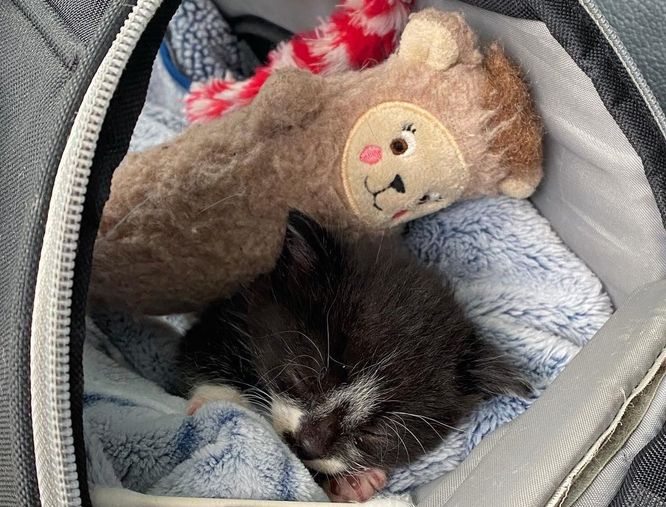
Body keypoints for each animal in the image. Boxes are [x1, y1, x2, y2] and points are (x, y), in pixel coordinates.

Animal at [175, 212, 524, 502]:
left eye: (375, 432)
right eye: (303, 376)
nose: (307, 444)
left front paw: (349, 482)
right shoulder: (233, 311)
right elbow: (202, 350)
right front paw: (222, 401)